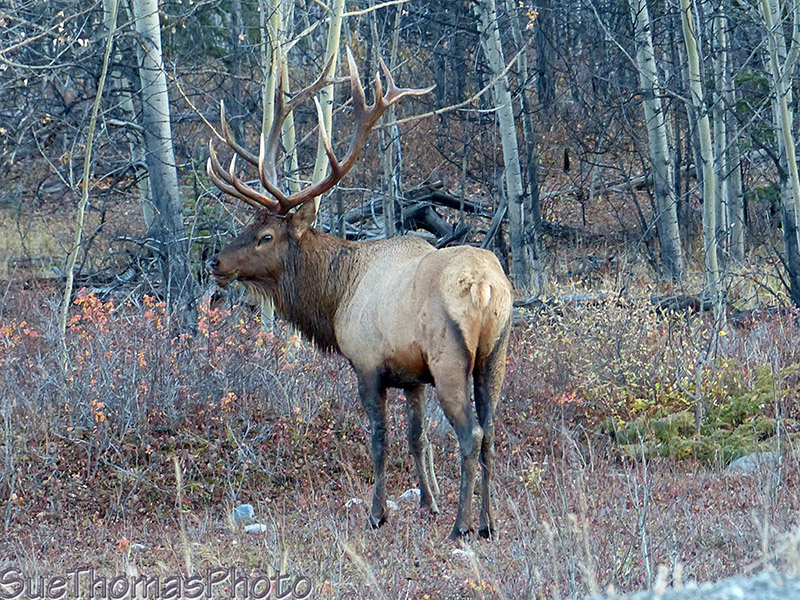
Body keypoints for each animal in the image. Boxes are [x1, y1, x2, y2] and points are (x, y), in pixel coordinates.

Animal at [206, 49, 513, 540]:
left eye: (266, 236)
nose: (215, 262)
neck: (335, 299)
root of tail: (486, 286)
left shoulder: (368, 364)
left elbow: (379, 441)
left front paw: (378, 513)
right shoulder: (412, 376)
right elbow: (417, 438)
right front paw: (428, 502)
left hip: (450, 357)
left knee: (472, 435)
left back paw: (461, 526)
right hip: (495, 353)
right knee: (492, 433)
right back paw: (488, 523)